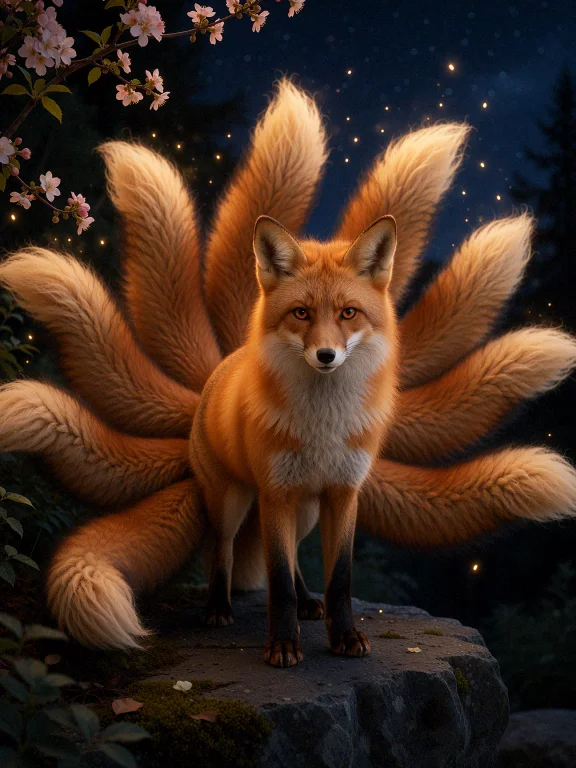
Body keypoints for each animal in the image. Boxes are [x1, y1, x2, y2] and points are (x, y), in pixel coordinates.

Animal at [191, 215, 398, 666]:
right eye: (301, 313)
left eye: (348, 313)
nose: (326, 355)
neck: (322, 426)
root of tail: (226, 363)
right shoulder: (276, 493)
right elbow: (279, 579)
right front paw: (283, 645)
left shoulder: (343, 493)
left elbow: (338, 579)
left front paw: (345, 636)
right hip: (232, 500)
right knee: (223, 547)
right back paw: (217, 606)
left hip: (305, 511)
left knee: (297, 558)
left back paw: (307, 602)